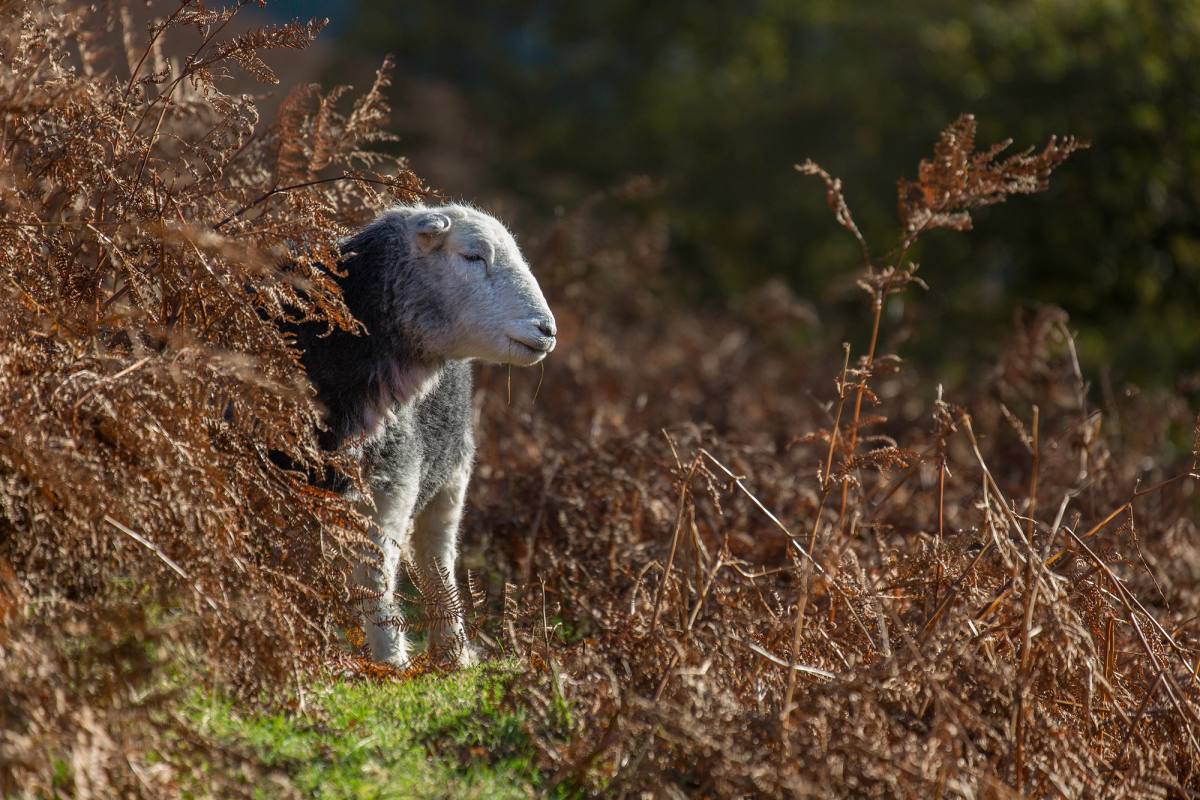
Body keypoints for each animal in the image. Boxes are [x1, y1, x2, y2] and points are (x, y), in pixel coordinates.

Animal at [287, 204, 556, 667]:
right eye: (473, 256)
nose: (547, 330)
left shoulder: (392, 487)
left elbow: (376, 577)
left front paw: (391, 664)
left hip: (451, 479)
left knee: (437, 564)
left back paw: (454, 654)